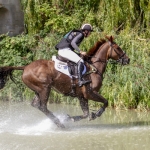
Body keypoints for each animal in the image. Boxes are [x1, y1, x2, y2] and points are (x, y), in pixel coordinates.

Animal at [0, 35, 129, 127]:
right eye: (118, 48)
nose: (127, 59)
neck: (94, 68)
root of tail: (25, 67)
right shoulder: (90, 93)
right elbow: (105, 102)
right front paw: (96, 114)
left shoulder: (82, 96)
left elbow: (85, 113)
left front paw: (72, 118)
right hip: (45, 88)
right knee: (42, 107)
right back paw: (59, 123)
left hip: (38, 90)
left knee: (36, 105)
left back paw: (59, 122)